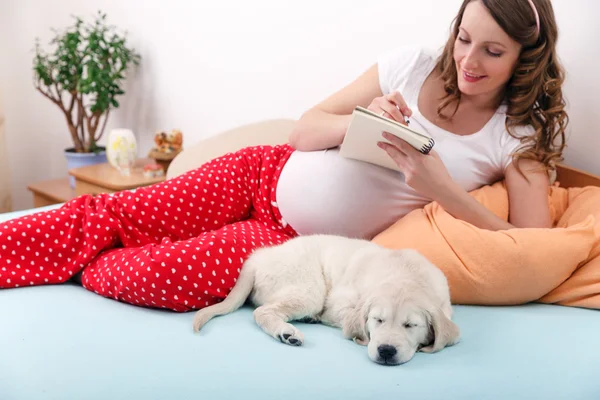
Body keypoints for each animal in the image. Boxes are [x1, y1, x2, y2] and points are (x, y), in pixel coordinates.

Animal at [192, 234, 460, 366]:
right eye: (378, 320)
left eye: (410, 325)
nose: (386, 351)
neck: (406, 273)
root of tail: (259, 256)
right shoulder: (339, 304)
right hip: (309, 289)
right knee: (262, 312)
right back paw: (287, 333)